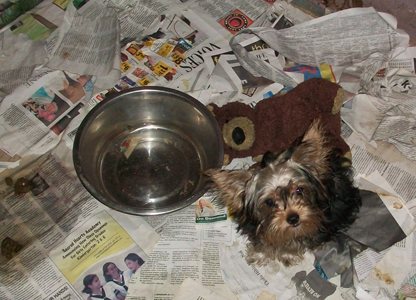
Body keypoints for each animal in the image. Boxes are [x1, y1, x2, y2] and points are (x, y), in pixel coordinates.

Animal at [205, 119, 360, 268]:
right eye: (269, 202)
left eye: (299, 190)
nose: (293, 218)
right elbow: (263, 240)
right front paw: (260, 255)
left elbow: (294, 242)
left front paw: (288, 255)